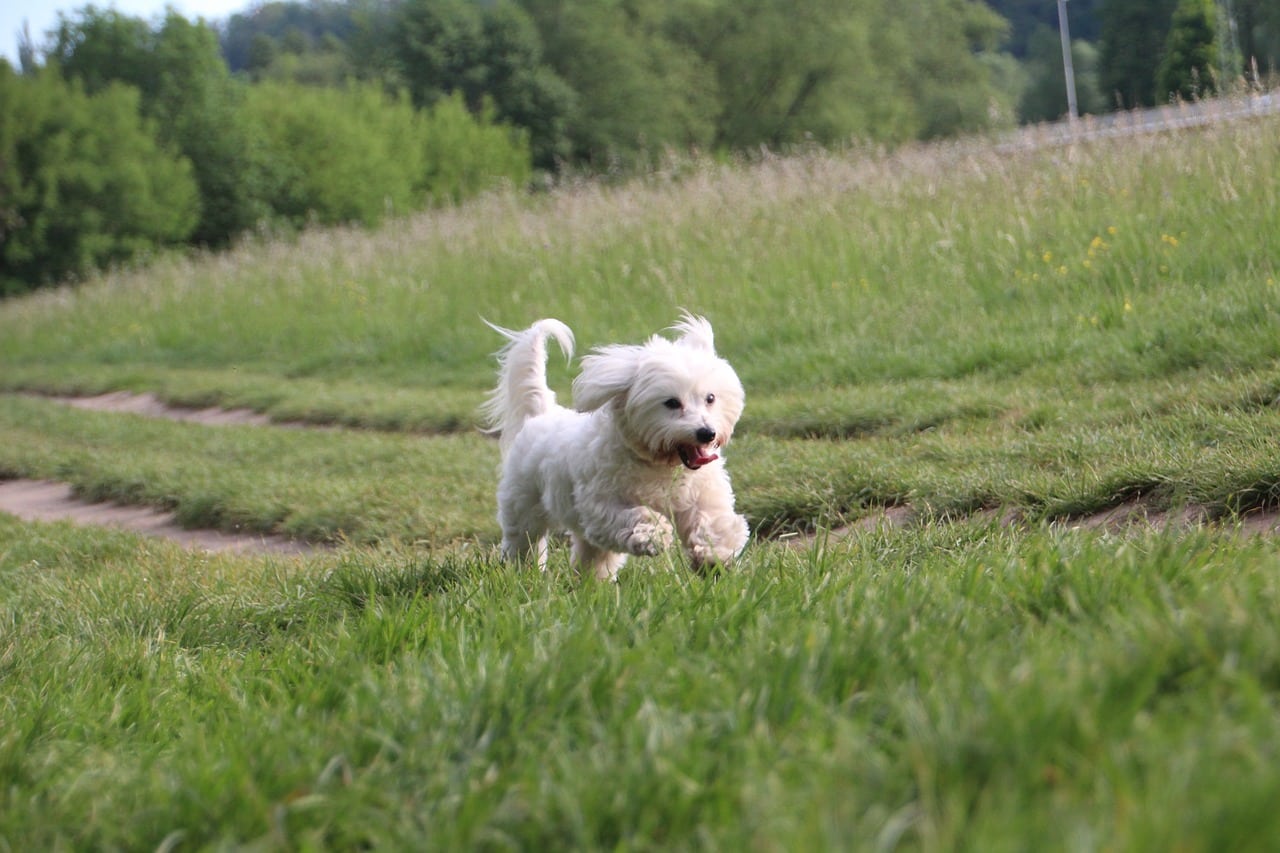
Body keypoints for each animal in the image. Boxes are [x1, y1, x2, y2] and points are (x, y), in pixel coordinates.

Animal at [483, 312, 752, 578]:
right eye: (672, 402)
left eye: (710, 398)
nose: (706, 433)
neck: (660, 464)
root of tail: (541, 413)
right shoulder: (601, 506)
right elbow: (636, 516)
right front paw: (654, 536)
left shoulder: (701, 495)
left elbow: (710, 521)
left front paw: (716, 557)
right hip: (523, 505)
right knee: (525, 541)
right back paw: (524, 572)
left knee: (591, 553)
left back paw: (590, 581)